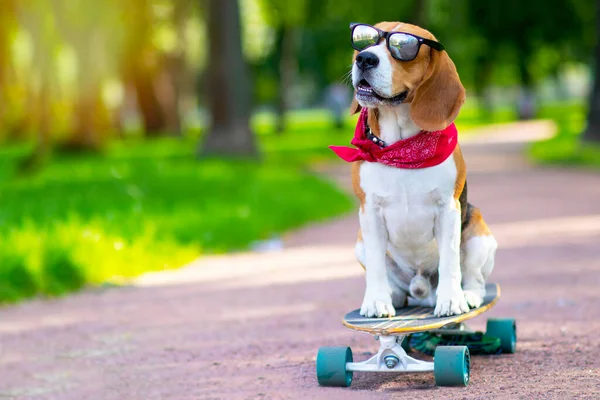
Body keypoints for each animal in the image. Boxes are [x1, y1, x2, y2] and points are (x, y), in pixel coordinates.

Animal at [332, 21, 496, 318]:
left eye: (402, 48)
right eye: (365, 40)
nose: (365, 59)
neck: (400, 148)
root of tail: (422, 292)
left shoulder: (448, 209)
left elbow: (450, 260)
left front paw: (451, 300)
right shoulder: (370, 213)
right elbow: (376, 266)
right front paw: (377, 302)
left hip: (479, 234)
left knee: (474, 278)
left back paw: (467, 295)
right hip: (360, 242)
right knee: (389, 279)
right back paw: (392, 296)